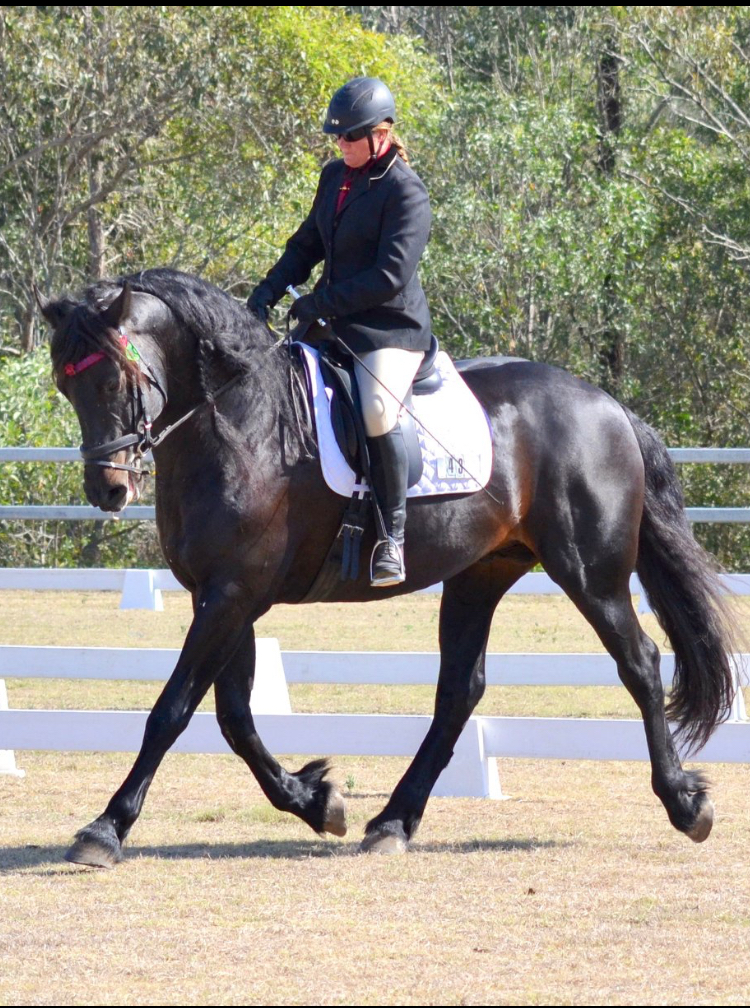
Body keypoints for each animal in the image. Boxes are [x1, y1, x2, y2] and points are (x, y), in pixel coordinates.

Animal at [39, 270, 733, 866]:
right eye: (66, 388)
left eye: (111, 382)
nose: (107, 490)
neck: (242, 427)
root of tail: (608, 405)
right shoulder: (222, 595)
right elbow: (233, 716)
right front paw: (316, 801)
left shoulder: (232, 594)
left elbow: (173, 710)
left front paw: (105, 828)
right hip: (481, 573)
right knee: (460, 690)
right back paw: (394, 822)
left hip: (590, 571)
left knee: (639, 662)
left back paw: (684, 803)